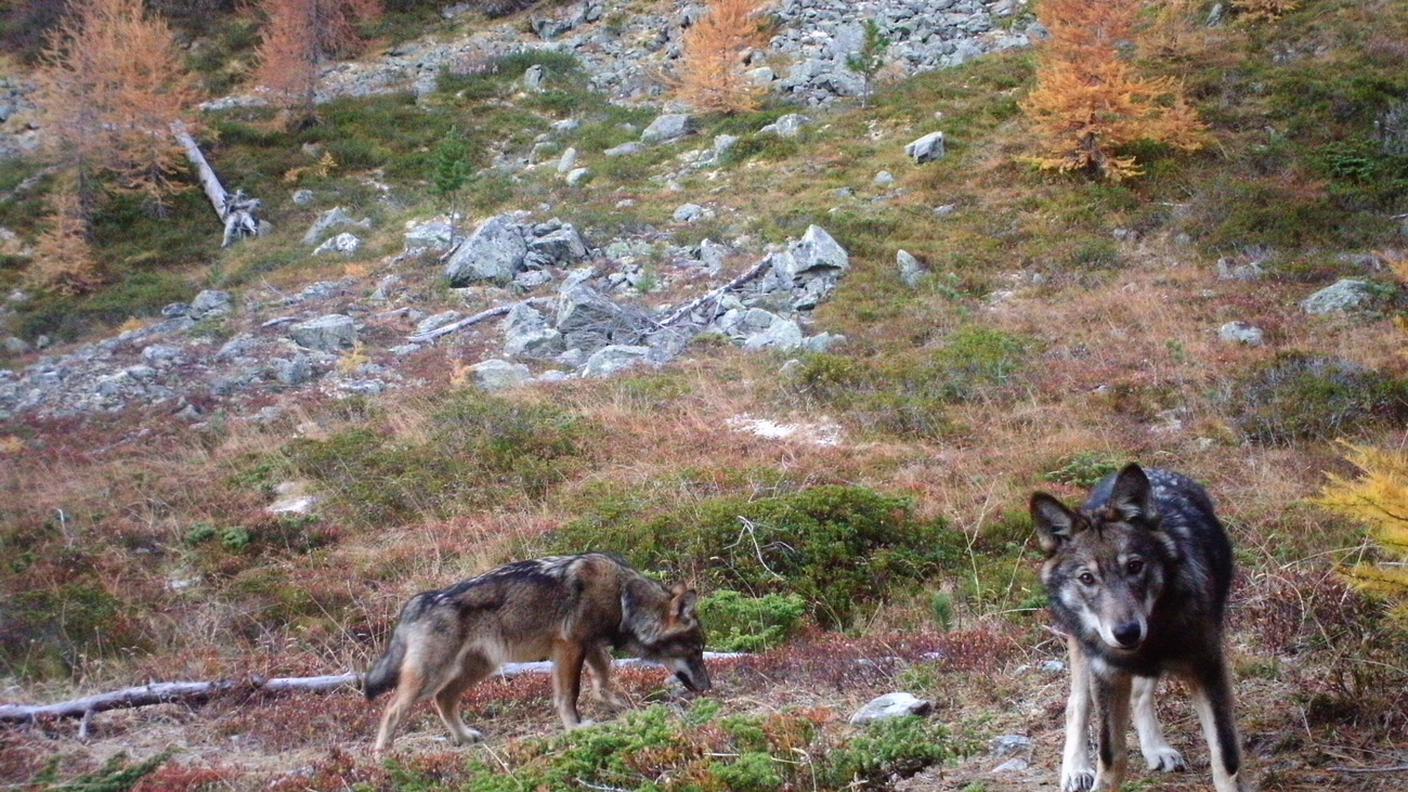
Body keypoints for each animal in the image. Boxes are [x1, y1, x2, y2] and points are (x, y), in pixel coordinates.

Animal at [362, 553, 711, 753]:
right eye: (695, 650)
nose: (709, 688)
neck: (622, 597)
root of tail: (418, 602)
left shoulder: (590, 646)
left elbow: (603, 679)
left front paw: (615, 704)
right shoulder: (569, 646)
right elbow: (570, 693)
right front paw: (576, 728)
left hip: (478, 669)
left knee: (444, 700)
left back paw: (464, 737)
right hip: (431, 676)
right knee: (392, 708)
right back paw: (381, 756)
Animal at [1030, 463, 1246, 792]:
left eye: (1134, 566)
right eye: (1086, 578)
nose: (1127, 632)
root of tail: (1156, 469)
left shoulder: (1208, 670)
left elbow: (1226, 757)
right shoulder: (1107, 675)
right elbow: (1110, 759)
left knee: (1140, 695)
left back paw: (1156, 750)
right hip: (1082, 651)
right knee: (1076, 705)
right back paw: (1076, 769)